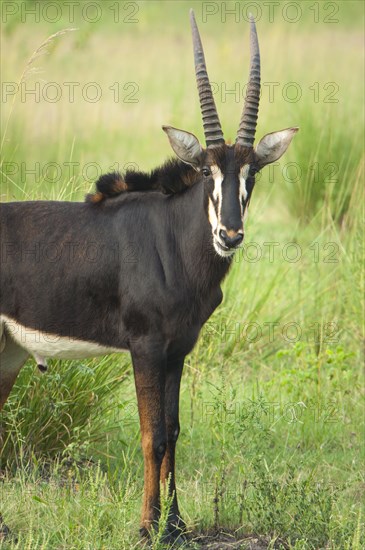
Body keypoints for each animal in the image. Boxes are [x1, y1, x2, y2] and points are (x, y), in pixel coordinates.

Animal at [0, 8, 296, 544]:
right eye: (206, 171)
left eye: (252, 174)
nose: (230, 234)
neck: (174, 243)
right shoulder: (146, 347)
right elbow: (151, 434)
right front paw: (146, 526)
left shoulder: (177, 350)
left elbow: (174, 431)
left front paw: (175, 525)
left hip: (8, 353)